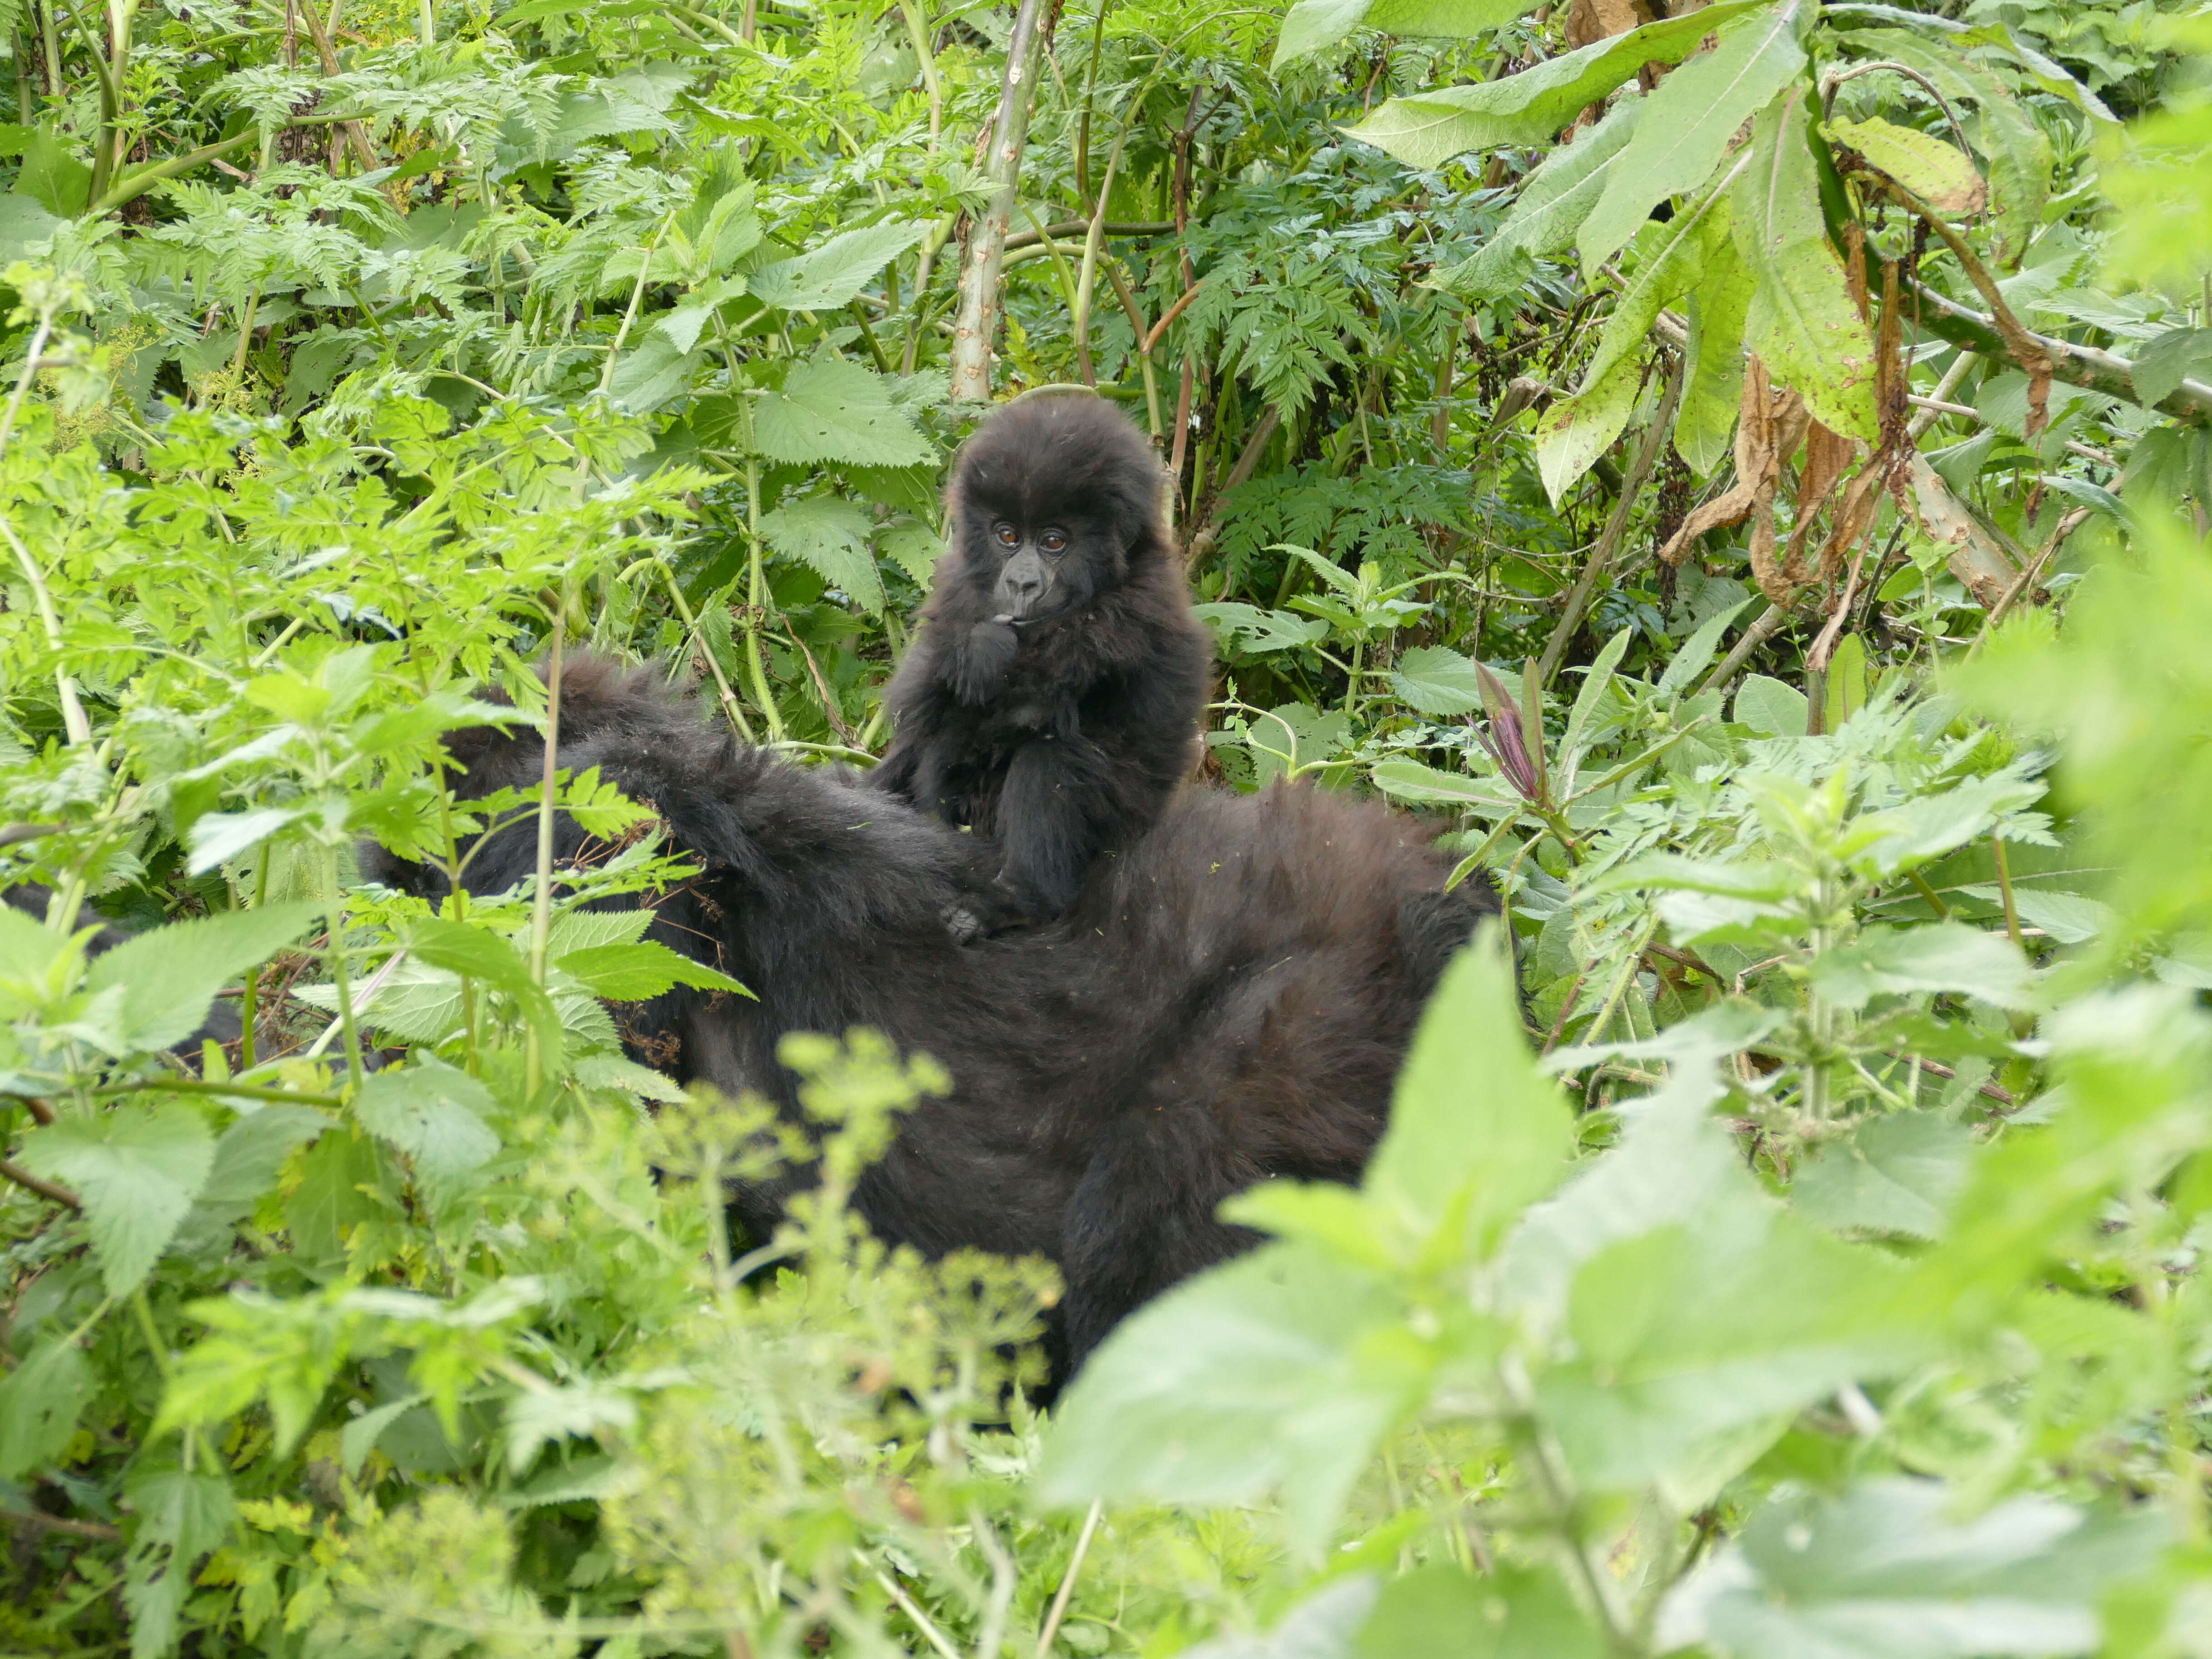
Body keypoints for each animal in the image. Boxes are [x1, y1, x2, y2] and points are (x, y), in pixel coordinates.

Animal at [871, 398, 1212, 929]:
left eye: (1054, 543)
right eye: (1008, 536)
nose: (1022, 583)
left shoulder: (1132, 612)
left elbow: (1030, 707)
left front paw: (990, 652)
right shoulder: (958, 586)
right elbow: (921, 691)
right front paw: (979, 646)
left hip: (1120, 833)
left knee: (1047, 756)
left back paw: (1021, 897)